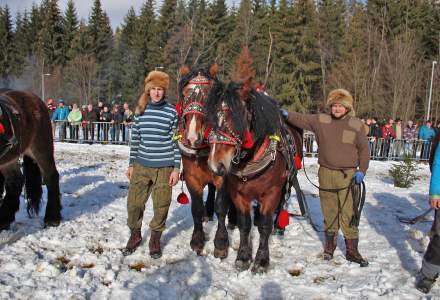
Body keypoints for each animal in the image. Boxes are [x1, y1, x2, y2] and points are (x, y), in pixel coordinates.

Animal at [0, 88, 61, 231]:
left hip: (41, 148)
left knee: (51, 176)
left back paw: (52, 218)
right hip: (10, 157)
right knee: (15, 181)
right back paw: (4, 219)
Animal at [175, 64, 232, 256]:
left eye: (209, 96)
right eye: (185, 93)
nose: (192, 136)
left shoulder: (224, 176)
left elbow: (221, 207)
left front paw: (221, 243)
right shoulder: (192, 177)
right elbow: (196, 209)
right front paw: (197, 239)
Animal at [205, 79, 302, 272]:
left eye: (237, 117)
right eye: (211, 118)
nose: (215, 165)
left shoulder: (271, 193)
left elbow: (265, 226)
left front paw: (262, 260)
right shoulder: (239, 194)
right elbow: (244, 224)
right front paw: (243, 256)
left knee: (280, 207)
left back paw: (278, 227)